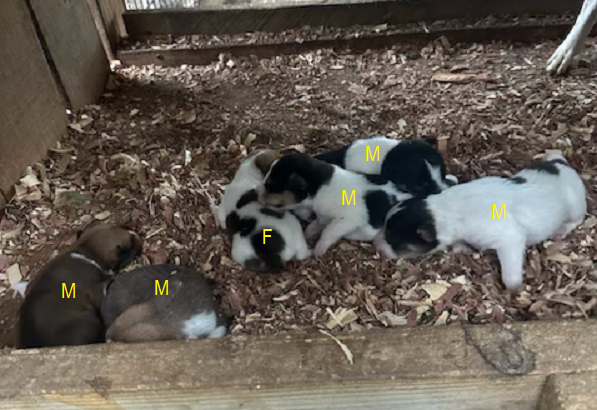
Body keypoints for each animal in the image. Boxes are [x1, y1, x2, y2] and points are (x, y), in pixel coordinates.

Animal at [257, 153, 412, 256]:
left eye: (271, 185)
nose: (256, 191)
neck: (319, 187)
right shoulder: (324, 214)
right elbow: (317, 224)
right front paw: (309, 233)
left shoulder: (347, 220)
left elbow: (328, 232)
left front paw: (319, 250)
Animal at [374, 153, 587, 290]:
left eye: (394, 241)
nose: (375, 244)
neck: (444, 209)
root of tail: (561, 164)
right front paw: (462, 248)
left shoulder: (510, 239)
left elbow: (511, 270)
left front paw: (513, 288)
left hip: (575, 204)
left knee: (577, 218)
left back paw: (561, 231)